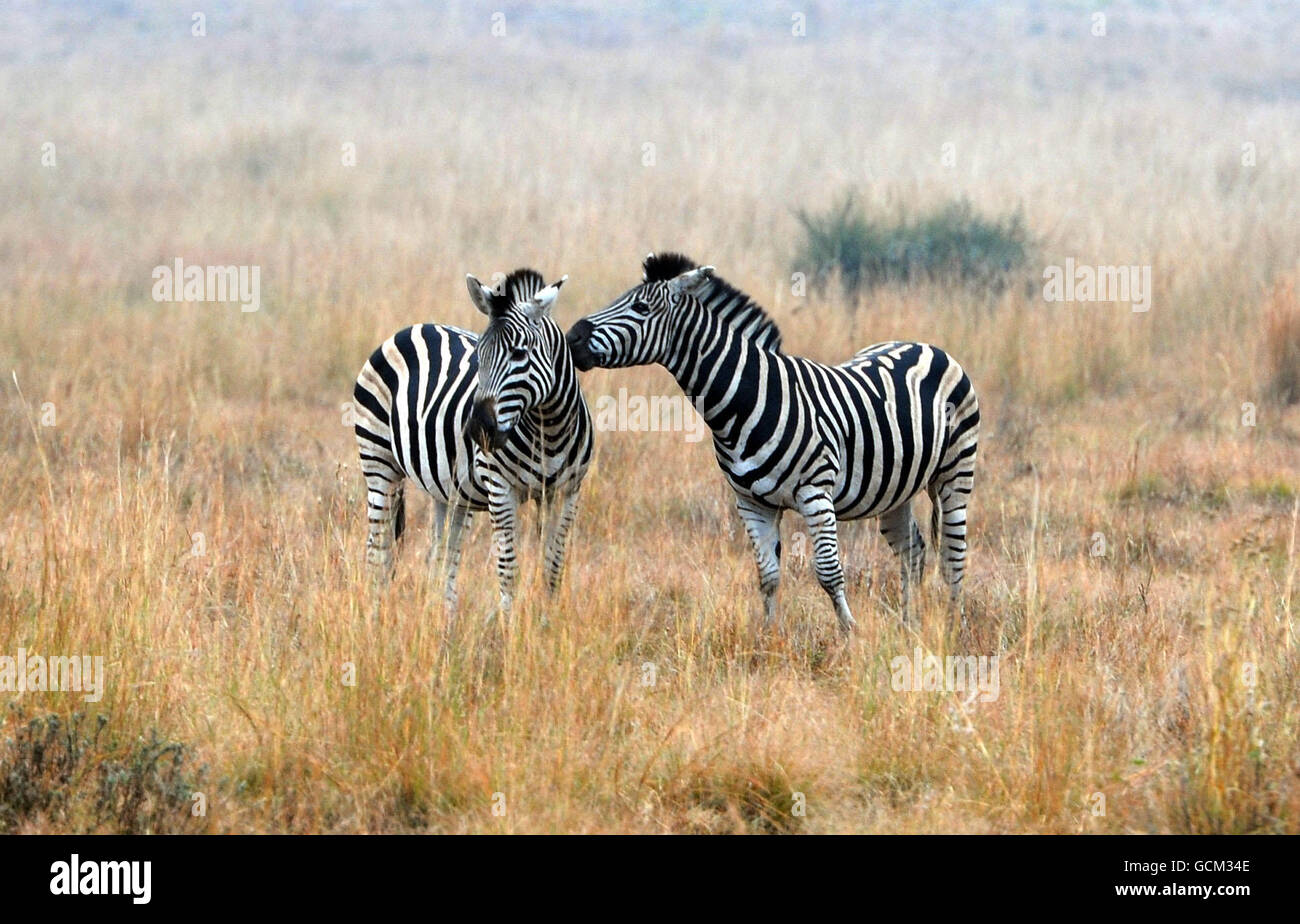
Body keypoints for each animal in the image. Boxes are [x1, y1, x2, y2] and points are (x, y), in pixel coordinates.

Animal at [345, 267, 590, 613]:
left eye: (519, 353)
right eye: (479, 355)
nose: (477, 429)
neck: (549, 430)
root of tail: (414, 327)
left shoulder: (567, 492)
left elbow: (553, 568)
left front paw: (549, 620)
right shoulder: (500, 488)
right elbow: (508, 569)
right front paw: (509, 624)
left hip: (447, 489)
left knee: (441, 557)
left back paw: (444, 620)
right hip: (378, 463)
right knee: (378, 550)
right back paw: (375, 612)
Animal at [564, 253, 977, 631]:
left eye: (641, 307)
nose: (573, 336)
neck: (745, 403)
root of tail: (923, 345)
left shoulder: (815, 492)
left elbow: (828, 572)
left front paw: (850, 635)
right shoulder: (751, 502)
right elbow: (768, 576)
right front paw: (768, 638)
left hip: (955, 474)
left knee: (953, 557)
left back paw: (954, 630)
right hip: (893, 490)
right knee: (913, 552)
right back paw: (909, 627)